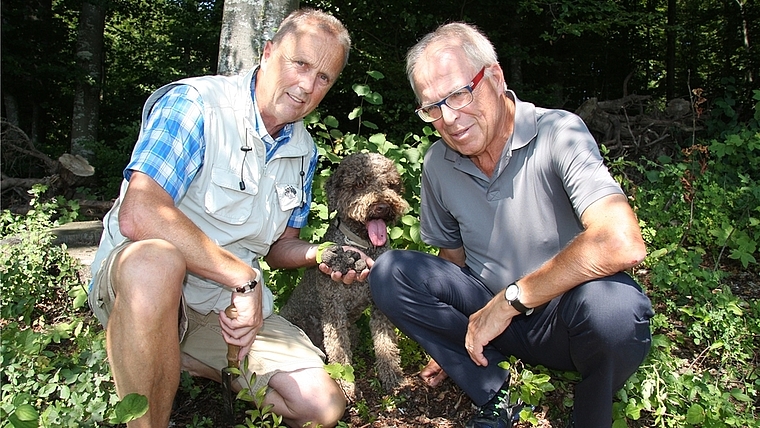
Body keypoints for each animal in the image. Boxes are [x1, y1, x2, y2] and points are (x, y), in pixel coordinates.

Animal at [280, 152, 410, 400]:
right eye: (358, 185)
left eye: (391, 184)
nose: (382, 206)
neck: (363, 245)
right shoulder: (334, 309)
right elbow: (339, 352)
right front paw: (346, 386)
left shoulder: (379, 306)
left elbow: (386, 343)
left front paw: (393, 376)